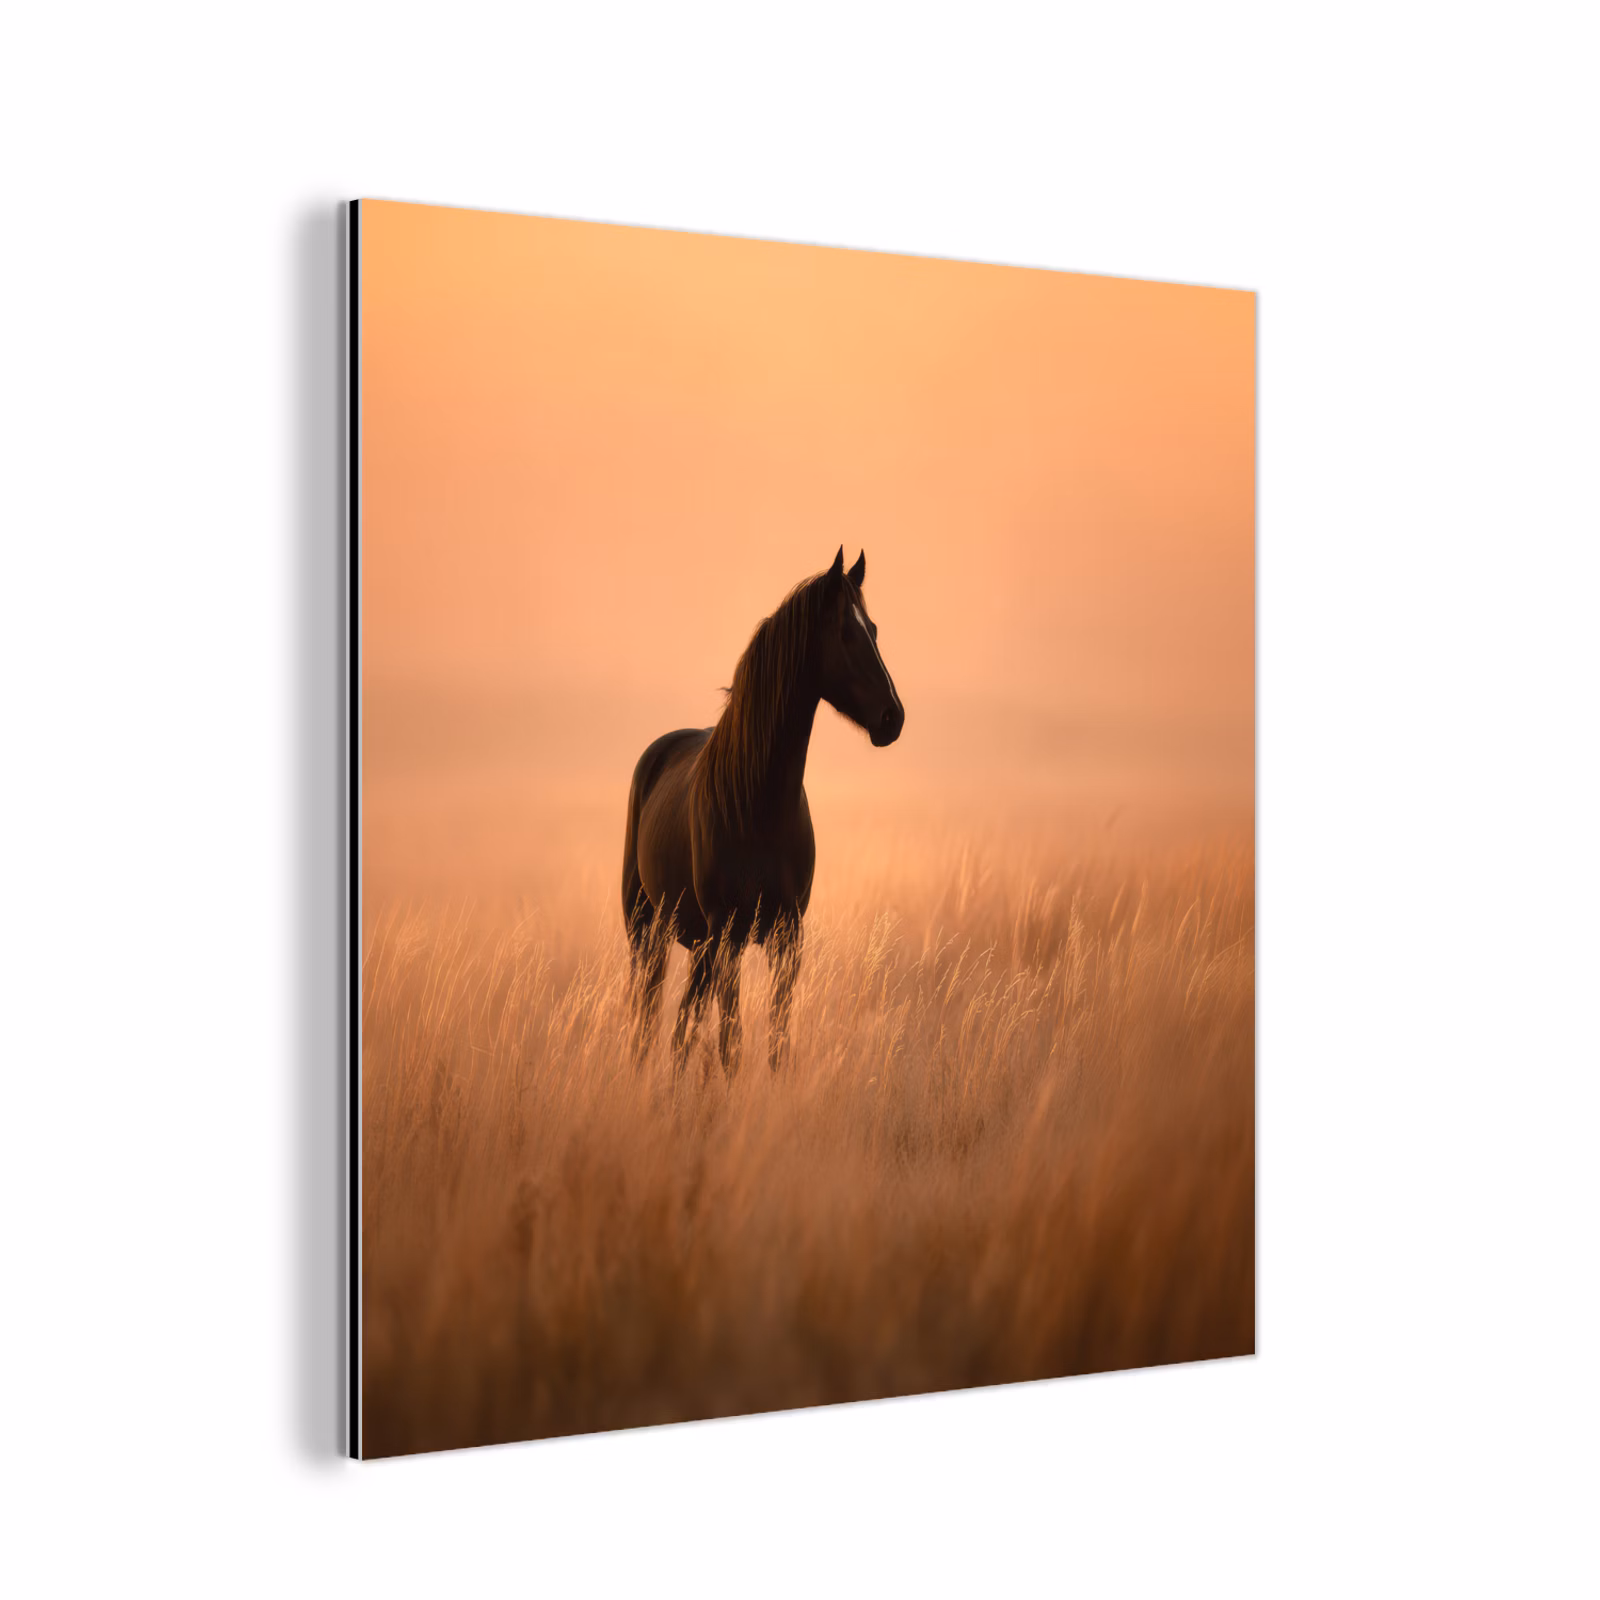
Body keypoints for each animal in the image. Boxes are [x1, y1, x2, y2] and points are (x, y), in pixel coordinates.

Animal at [620, 546, 905, 1080]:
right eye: (846, 632)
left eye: (874, 629)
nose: (892, 717)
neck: (758, 805)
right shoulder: (728, 936)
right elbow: (731, 1044)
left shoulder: (786, 937)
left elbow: (776, 1041)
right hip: (649, 930)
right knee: (647, 1021)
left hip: (699, 945)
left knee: (682, 1026)